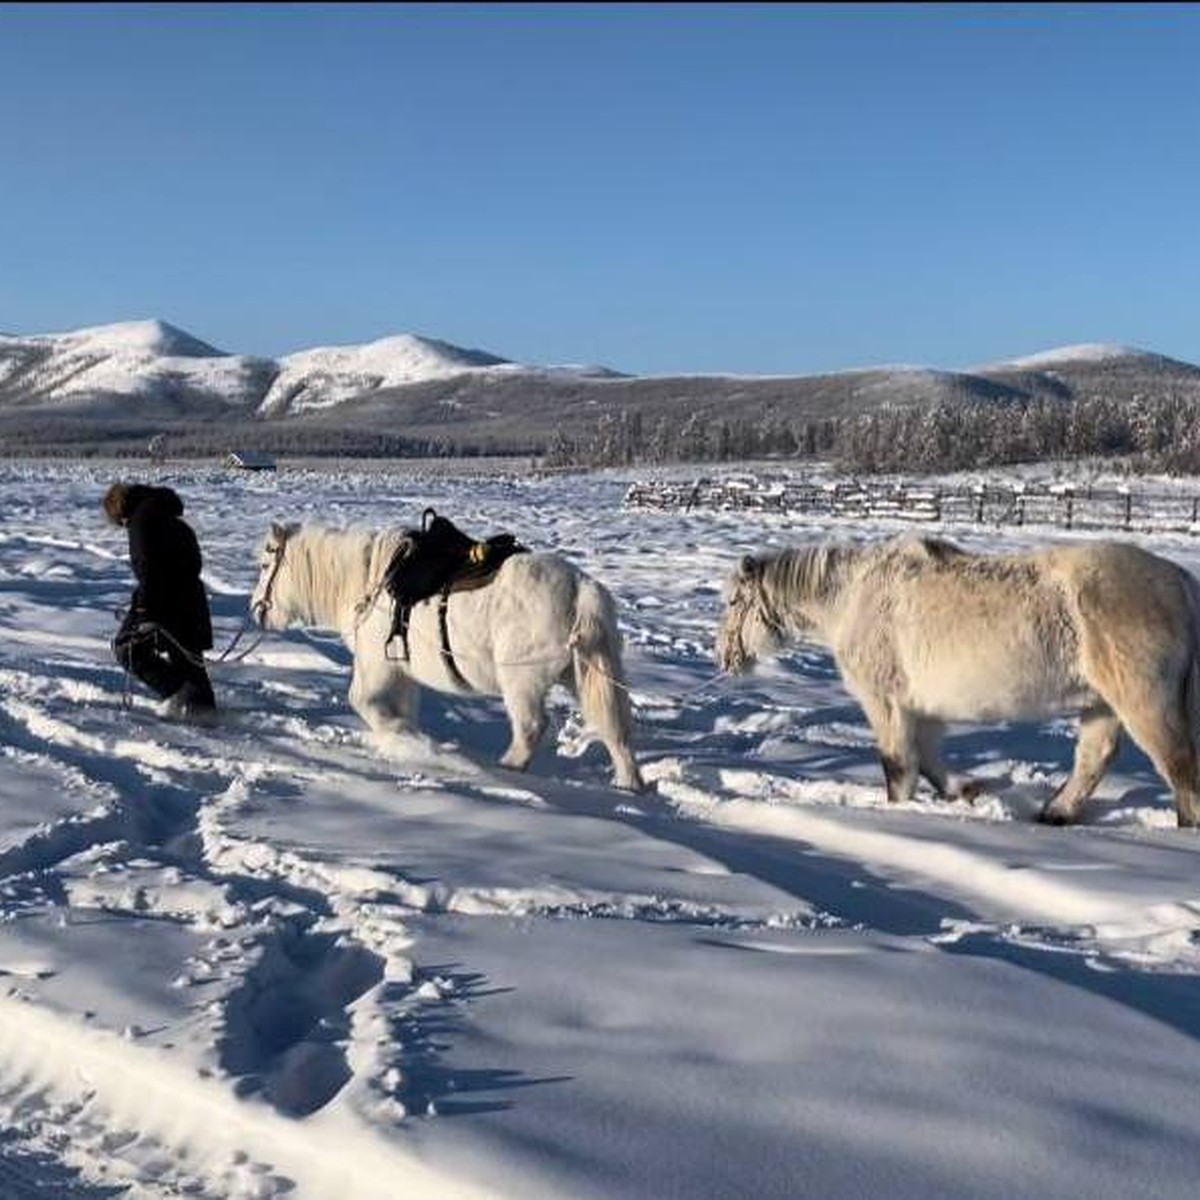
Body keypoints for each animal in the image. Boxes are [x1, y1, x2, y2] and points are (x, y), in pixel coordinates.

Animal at [248, 520, 648, 792]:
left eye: (266, 566)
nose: (256, 610)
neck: (369, 582)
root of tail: (582, 590)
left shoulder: (375, 668)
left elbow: (365, 705)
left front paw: (411, 743)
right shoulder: (402, 674)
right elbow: (402, 712)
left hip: (522, 682)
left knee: (531, 728)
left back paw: (504, 770)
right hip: (583, 674)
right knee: (615, 731)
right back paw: (628, 785)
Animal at [715, 540, 1195, 830]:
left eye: (735, 601)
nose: (725, 659)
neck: (850, 598)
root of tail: (1184, 583)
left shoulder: (885, 702)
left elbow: (898, 767)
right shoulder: (920, 708)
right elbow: (927, 762)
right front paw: (967, 792)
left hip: (1141, 701)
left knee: (1180, 766)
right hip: (1101, 703)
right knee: (1095, 758)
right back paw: (1054, 813)